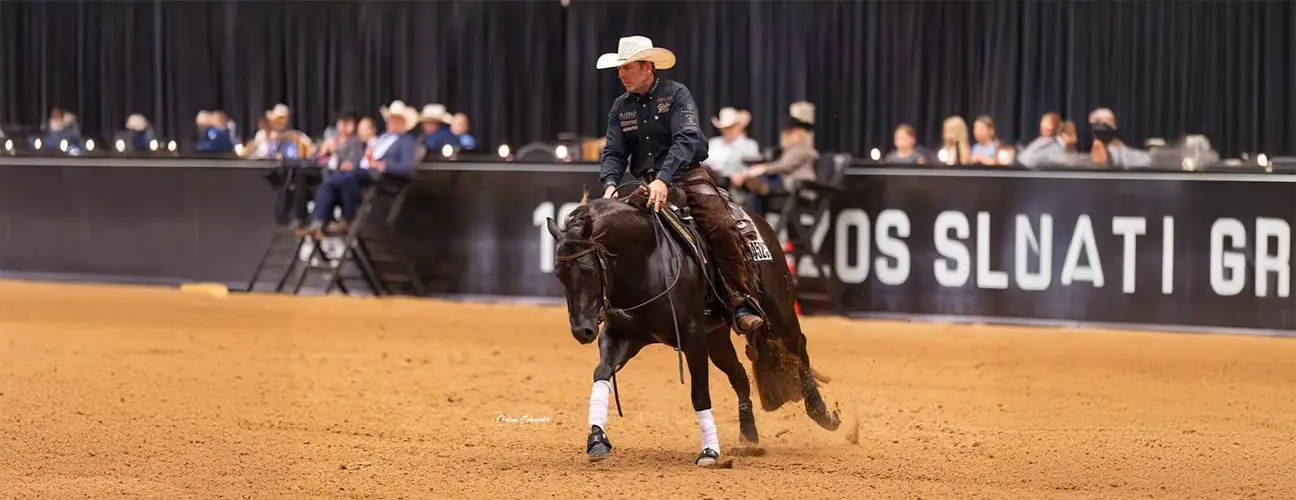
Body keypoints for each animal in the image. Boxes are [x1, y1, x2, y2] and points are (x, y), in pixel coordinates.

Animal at [545, 184, 841, 466]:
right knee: (739, 376)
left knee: (798, 347)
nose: (582, 331)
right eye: (559, 274)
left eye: (588, 270)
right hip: (717, 338)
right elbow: (601, 374)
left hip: (779, 309)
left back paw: (822, 412)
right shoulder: (620, 336)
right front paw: (597, 440)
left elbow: (699, 393)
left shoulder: (692, 338)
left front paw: (709, 451)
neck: (646, 259)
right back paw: (748, 437)